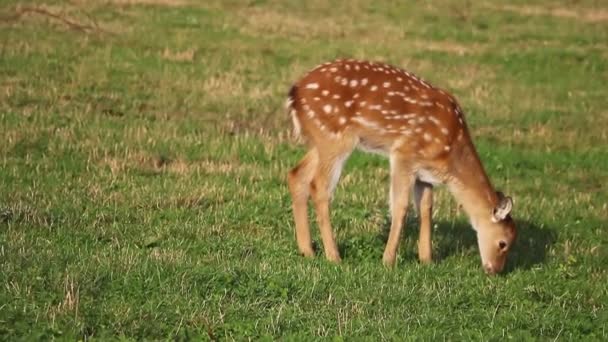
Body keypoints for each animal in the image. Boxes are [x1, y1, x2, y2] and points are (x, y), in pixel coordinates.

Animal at [286, 58, 516, 272]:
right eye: (503, 243)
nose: (495, 271)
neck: (450, 153)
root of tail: (294, 93)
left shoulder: (425, 173)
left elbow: (426, 207)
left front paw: (426, 259)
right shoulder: (404, 154)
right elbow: (401, 205)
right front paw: (388, 261)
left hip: (321, 140)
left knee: (297, 174)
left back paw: (307, 250)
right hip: (335, 137)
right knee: (319, 186)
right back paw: (334, 256)